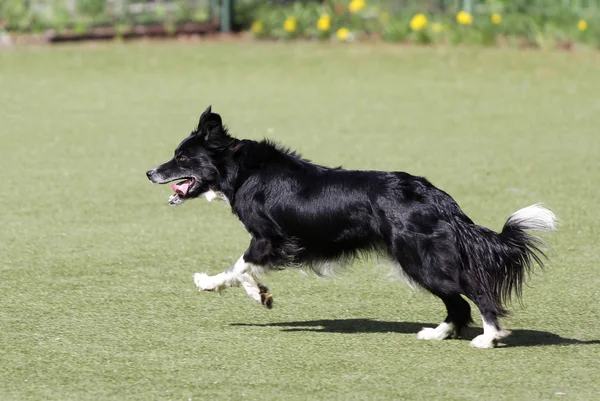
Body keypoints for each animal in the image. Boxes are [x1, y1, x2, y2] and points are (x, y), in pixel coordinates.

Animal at [146, 105, 556, 346]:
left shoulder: (272, 238)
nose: (149, 173)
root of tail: (440, 198)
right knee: (457, 303)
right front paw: (259, 293)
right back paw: (436, 333)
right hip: (418, 259)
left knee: (474, 292)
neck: (241, 169)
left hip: (421, 257)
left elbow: (239, 266)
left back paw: (489, 336)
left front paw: (215, 284)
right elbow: (244, 270)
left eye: (181, 158)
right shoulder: (276, 244)